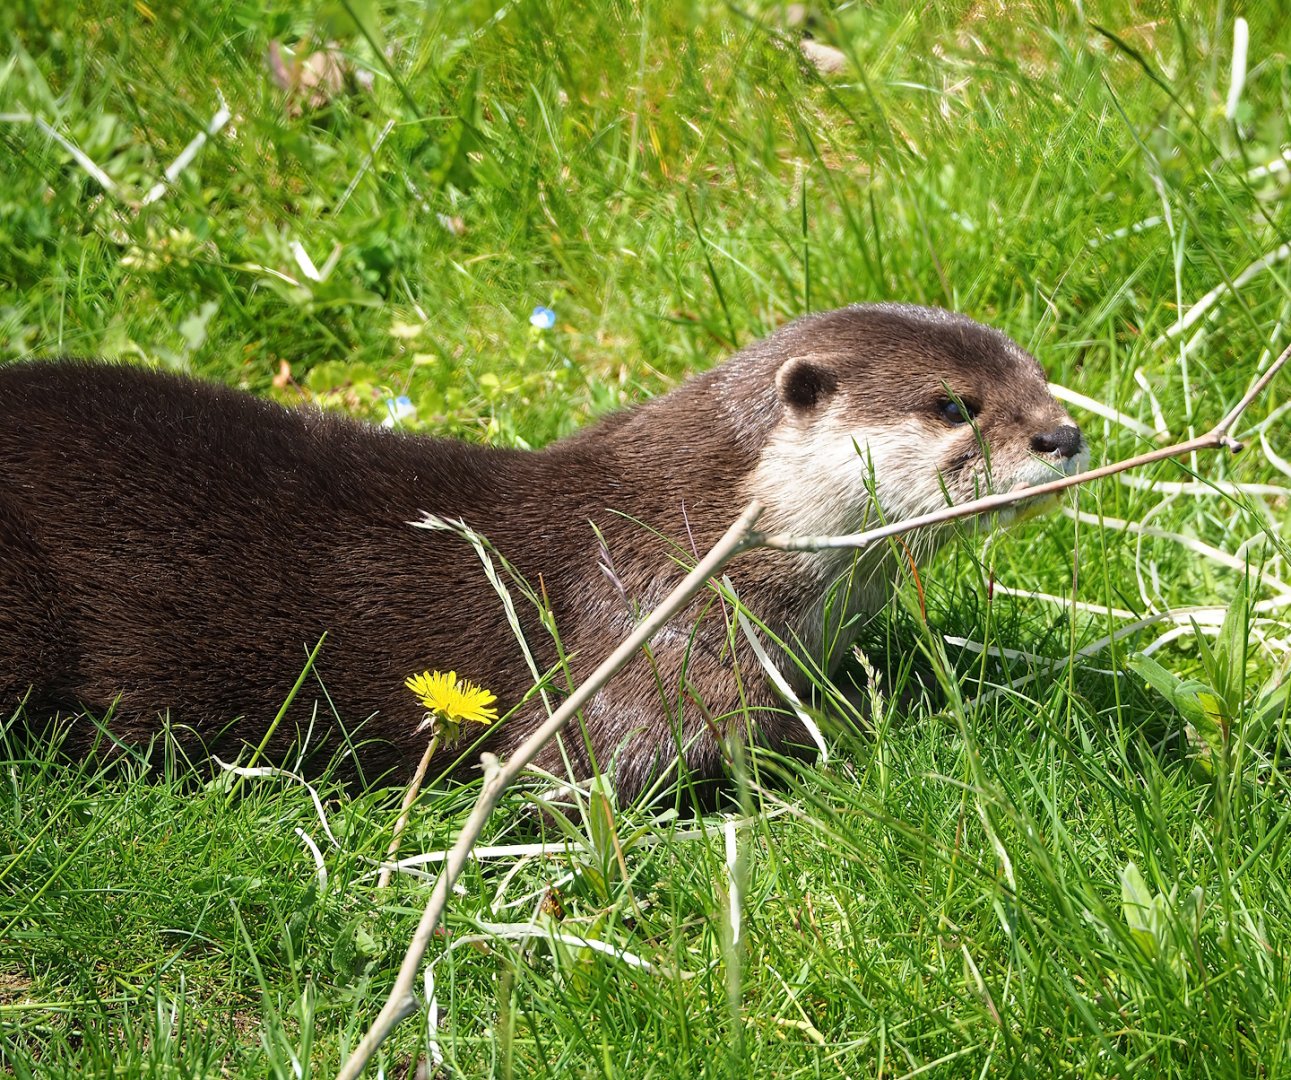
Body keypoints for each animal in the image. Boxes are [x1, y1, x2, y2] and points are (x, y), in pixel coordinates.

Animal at [0, 304, 1086, 801]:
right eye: (952, 405)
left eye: (1039, 377)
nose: (1063, 436)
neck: (695, 537)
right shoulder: (633, 649)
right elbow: (585, 777)